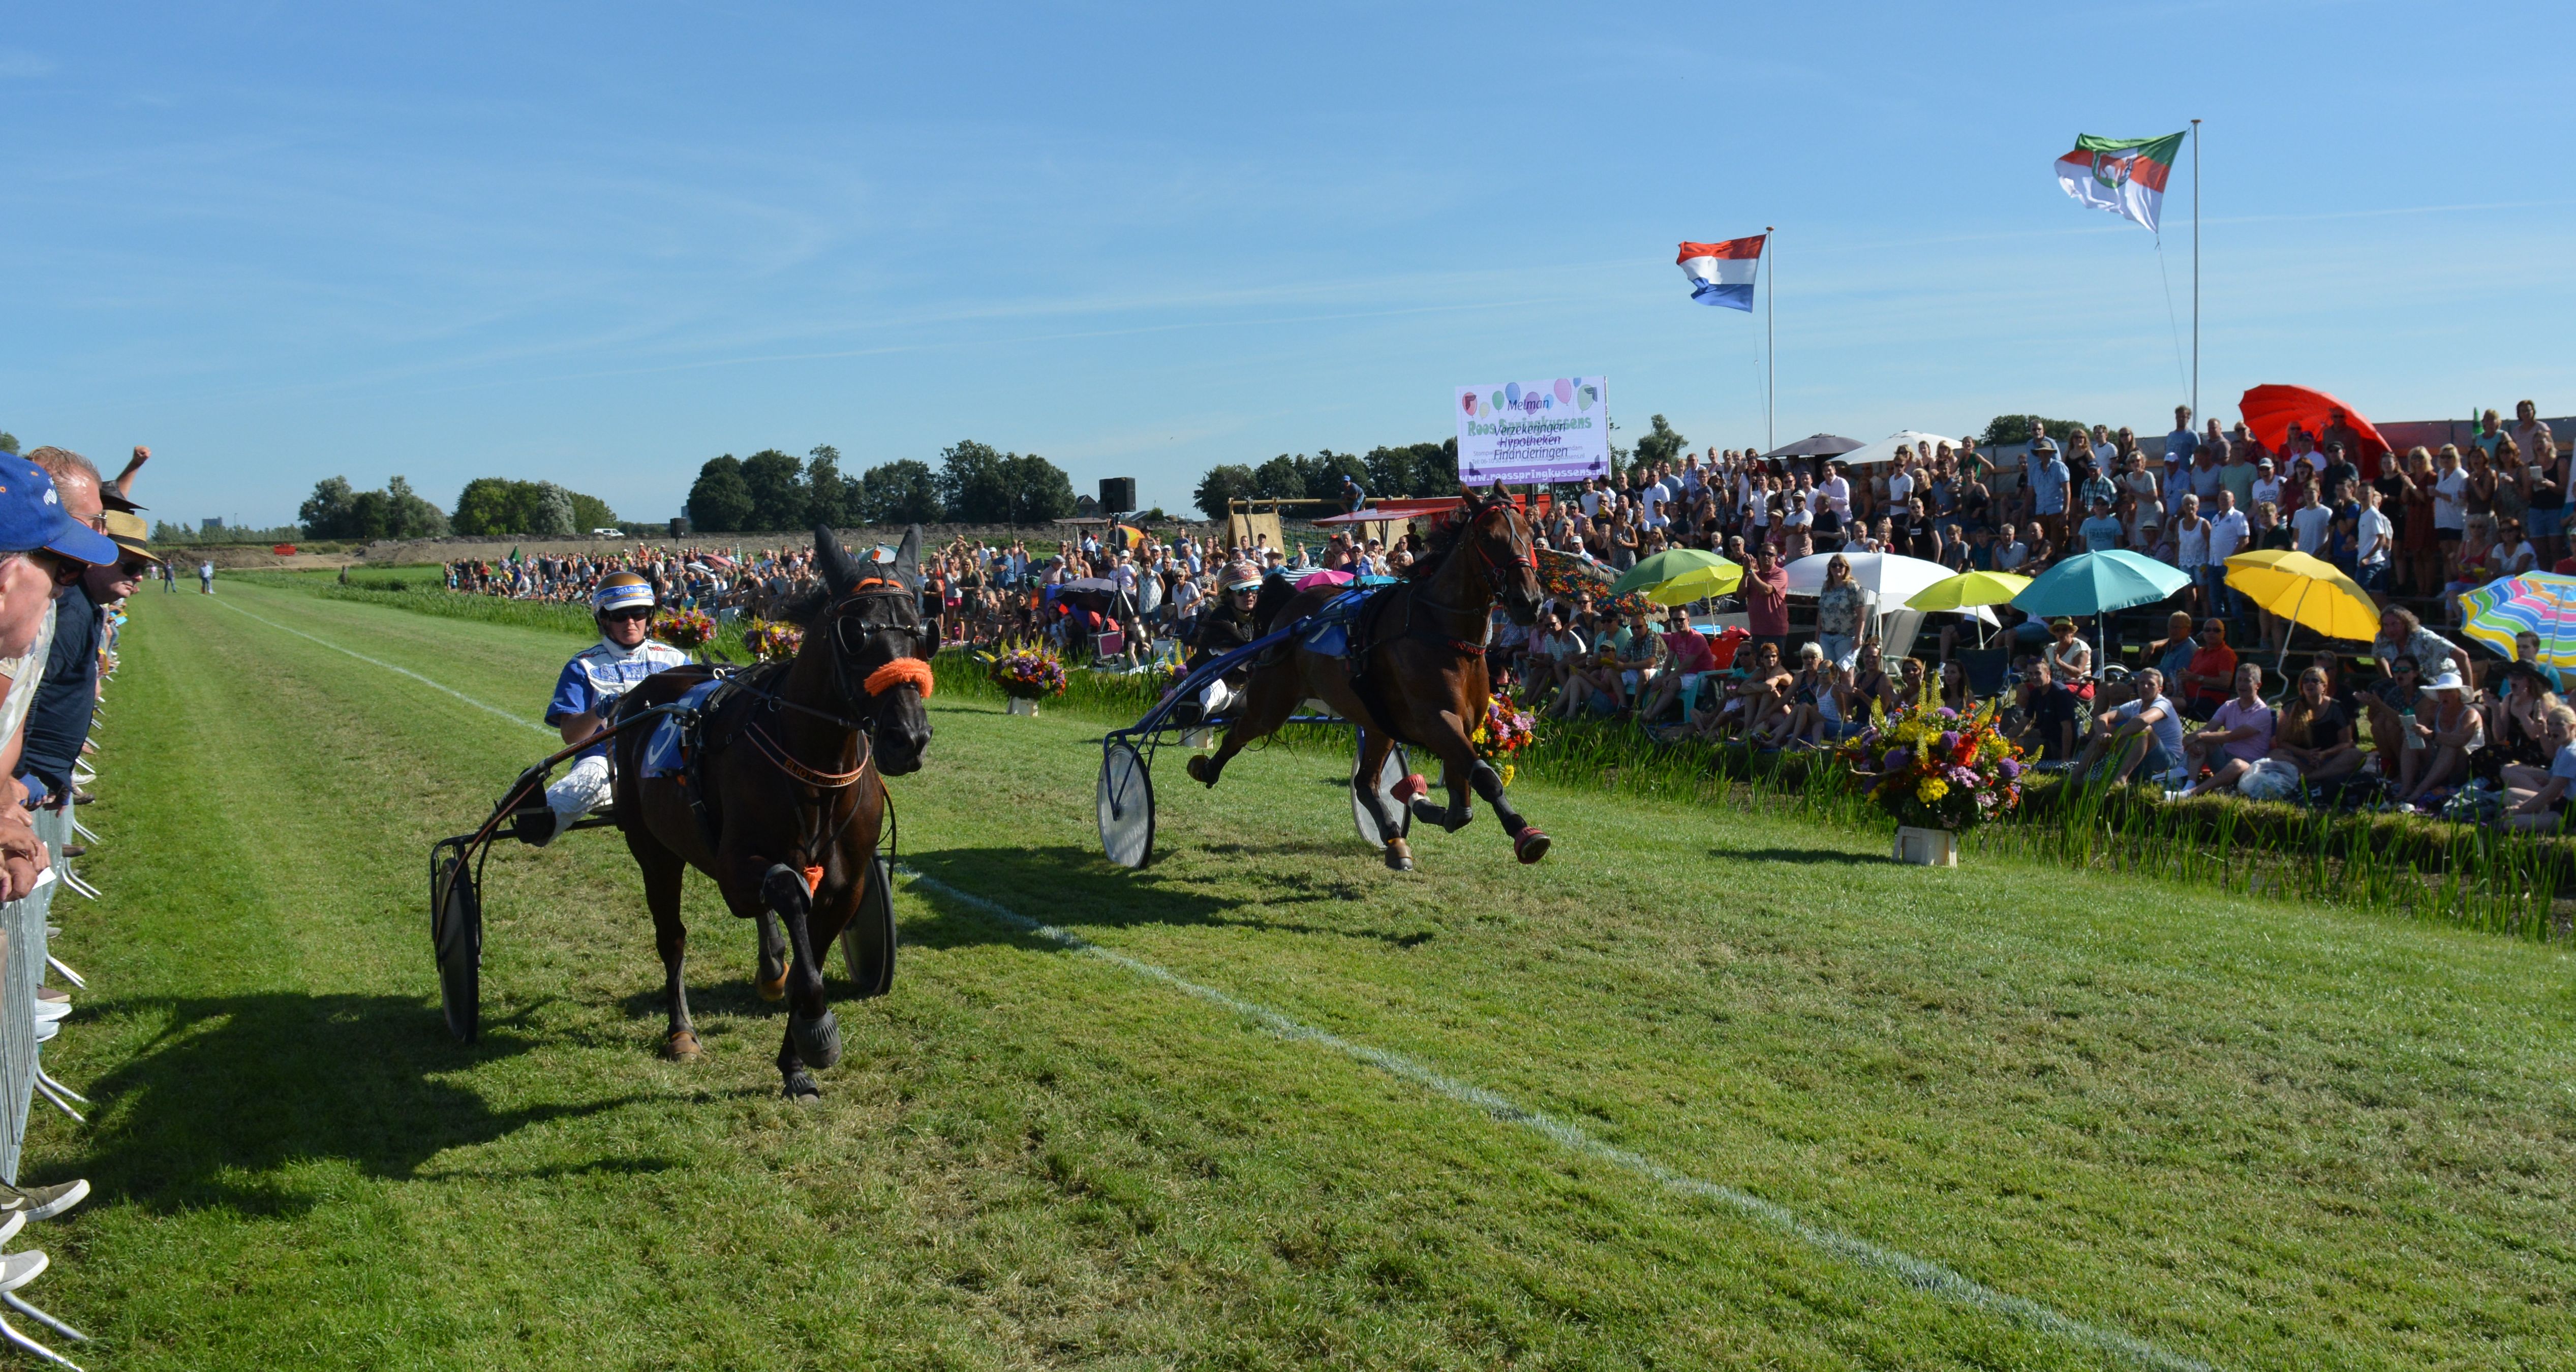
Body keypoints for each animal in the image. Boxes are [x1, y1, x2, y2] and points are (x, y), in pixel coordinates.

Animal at [613, 520, 937, 1096]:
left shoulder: (846, 886)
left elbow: (814, 948)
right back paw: (682, 1030)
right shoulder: (735, 867)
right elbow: (787, 894)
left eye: (924, 631)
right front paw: (817, 1028)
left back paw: (771, 965)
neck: (815, 771)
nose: (909, 738)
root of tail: (643, 692)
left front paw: (795, 1064)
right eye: (855, 633)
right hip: (654, 851)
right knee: (673, 936)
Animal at [1190, 481, 1545, 865]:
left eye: (1530, 533)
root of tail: (1290, 605)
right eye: (1488, 536)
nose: (1529, 601)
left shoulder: (1459, 725)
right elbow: (1484, 778)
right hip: (1273, 700)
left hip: (1377, 720)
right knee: (1239, 731)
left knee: (1365, 783)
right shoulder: (1436, 719)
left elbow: (1461, 806)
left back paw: (1393, 837)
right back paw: (1205, 768)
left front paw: (1419, 799)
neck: (1441, 631)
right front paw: (1524, 833)